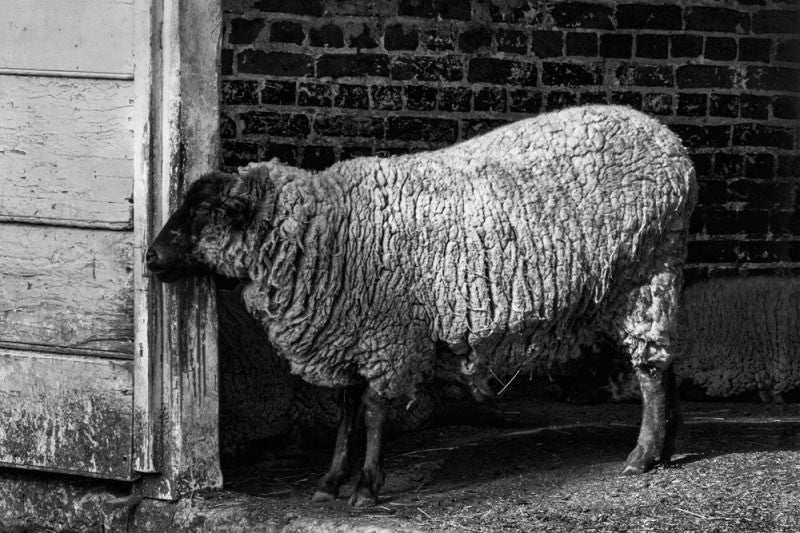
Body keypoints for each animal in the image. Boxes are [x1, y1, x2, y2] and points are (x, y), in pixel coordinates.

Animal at [147, 105, 696, 508]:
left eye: (204, 211)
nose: (151, 257)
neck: (327, 230)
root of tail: (672, 144)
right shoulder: (350, 333)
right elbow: (345, 411)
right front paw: (330, 480)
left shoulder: (386, 336)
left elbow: (373, 411)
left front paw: (366, 486)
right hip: (651, 276)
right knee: (664, 363)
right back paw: (666, 447)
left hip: (647, 270)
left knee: (651, 369)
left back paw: (642, 455)